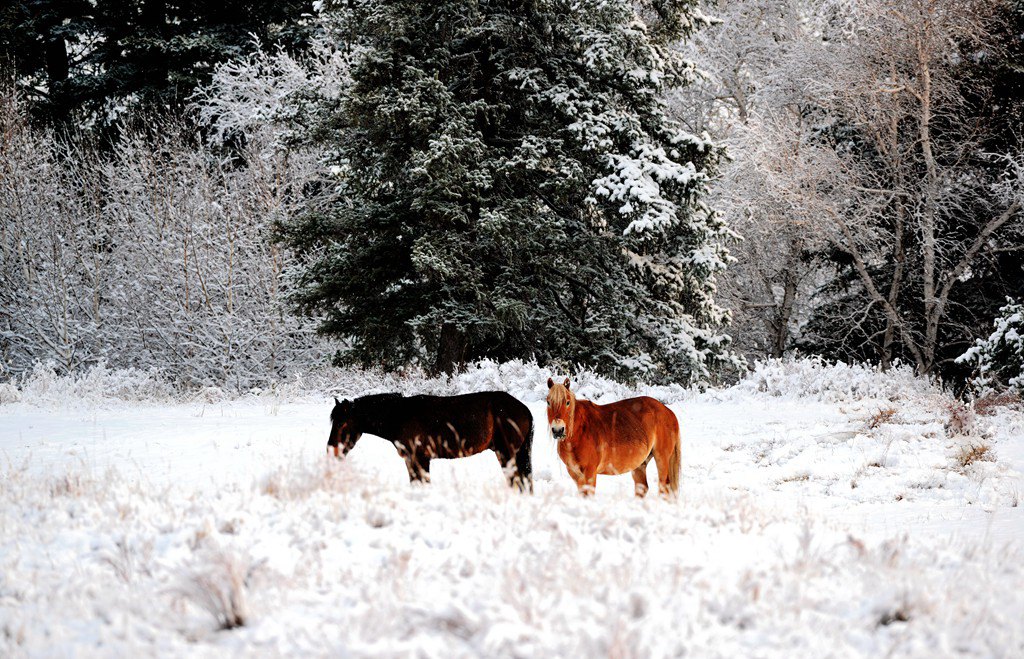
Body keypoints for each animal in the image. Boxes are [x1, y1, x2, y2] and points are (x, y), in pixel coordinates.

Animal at [327, 390, 536, 489]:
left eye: (341, 424)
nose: (331, 451)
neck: (400, 416)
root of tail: (524, 408)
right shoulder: (413, 461)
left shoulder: (419, 459)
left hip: (507, 454)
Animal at [544, 378, 679, 497]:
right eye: (548, 402)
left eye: (567, 402)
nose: (558, 430)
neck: (580, 431)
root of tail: (668, 411)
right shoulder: (575, 474)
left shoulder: (589, 473)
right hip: (640, 464)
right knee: (642, 488)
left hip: (661, 458)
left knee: (664, 487)